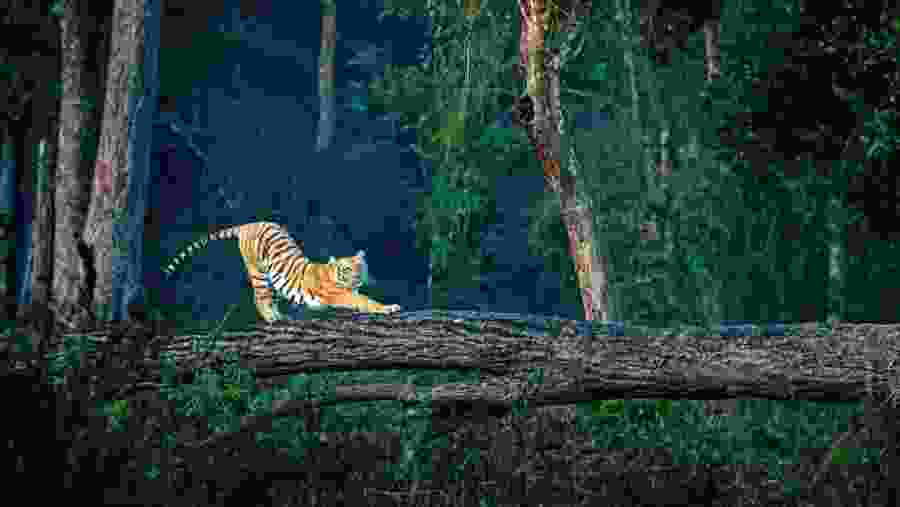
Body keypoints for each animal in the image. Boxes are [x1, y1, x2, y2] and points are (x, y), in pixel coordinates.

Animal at [162, 221, 402, 322]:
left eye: (360, 267)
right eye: (346, 270)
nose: (356, 278)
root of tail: (249, 224)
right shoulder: (339, 294)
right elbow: (365, 301)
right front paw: (388, 308)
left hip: (274, 281)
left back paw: (279, 316)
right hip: (258, 272)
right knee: (259, 298)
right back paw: (272, 318)